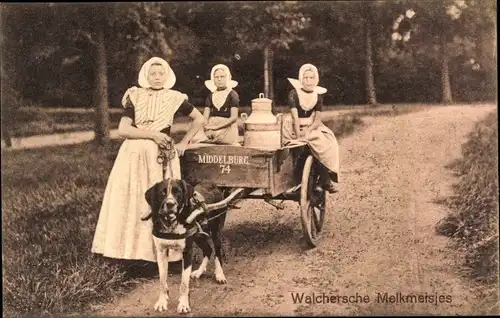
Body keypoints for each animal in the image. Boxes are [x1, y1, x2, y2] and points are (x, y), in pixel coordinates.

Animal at [142, 178, 229, 314]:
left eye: (178, 192)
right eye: (162, 192)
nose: (170, 204)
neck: (171, 223)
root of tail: (212, 184)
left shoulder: (187, 252)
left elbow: (183, 284)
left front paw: (183, 305)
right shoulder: (161, 252)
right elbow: (162, 281)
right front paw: (162, 302)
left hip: (216, 231)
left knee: (217, 252)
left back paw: (220, 275)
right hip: (198, 235)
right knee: (208, 250)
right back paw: (199, 272)